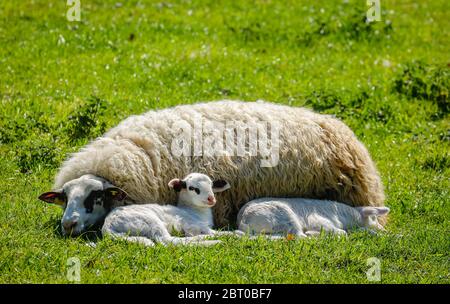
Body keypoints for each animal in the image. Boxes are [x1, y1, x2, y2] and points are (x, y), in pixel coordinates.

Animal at [100, 172, 237, 246]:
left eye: (212, 185)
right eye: (192, 188)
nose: (211, 199)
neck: (193, 211)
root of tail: (107, 226)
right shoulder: (192, 224)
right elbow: (221, 232)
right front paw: (236, 235)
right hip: (150, 221)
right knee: (169, 241)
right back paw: (211, 241)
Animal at [236, 197, 390, 238]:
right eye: (374, 218)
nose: (384, 230)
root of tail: (243, 220)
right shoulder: (318, 221)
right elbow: (342, 232)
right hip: (285, 215)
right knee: (300, 236)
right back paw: (312, 235)